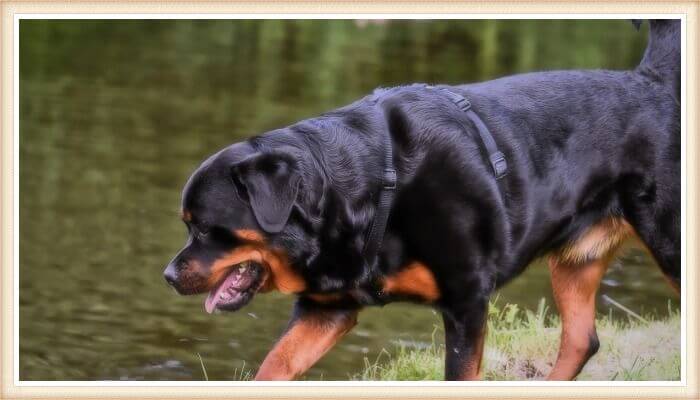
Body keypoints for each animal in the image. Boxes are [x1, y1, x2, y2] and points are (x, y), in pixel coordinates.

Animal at [163, 19, 680, 382]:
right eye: (189, 226)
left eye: (205, 228)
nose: (168, 275)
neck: (367, 190)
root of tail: (650, 83)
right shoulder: (325, 308)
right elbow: (274, 364)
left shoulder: (467, 300)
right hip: (575, 261)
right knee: (580, 341)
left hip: (670, 245)